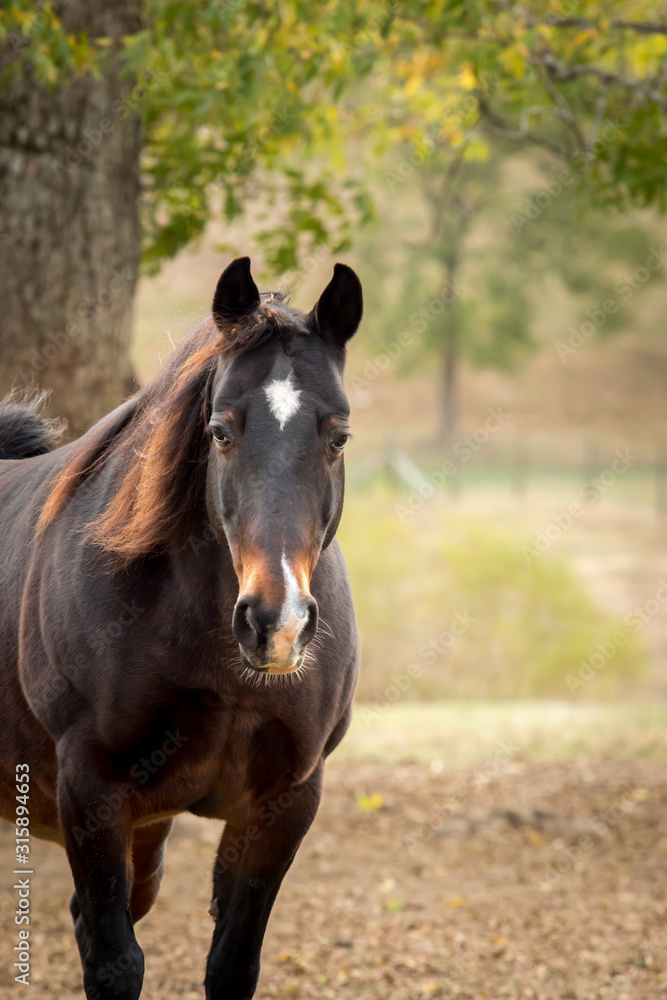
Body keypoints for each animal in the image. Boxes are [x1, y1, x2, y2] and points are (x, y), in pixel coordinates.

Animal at [0, 256, 363, 1000]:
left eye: (338, 435)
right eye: (221, 430)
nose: (276, 623)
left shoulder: (281, 804)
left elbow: (231, 964)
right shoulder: (90, 791)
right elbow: (115, 964)